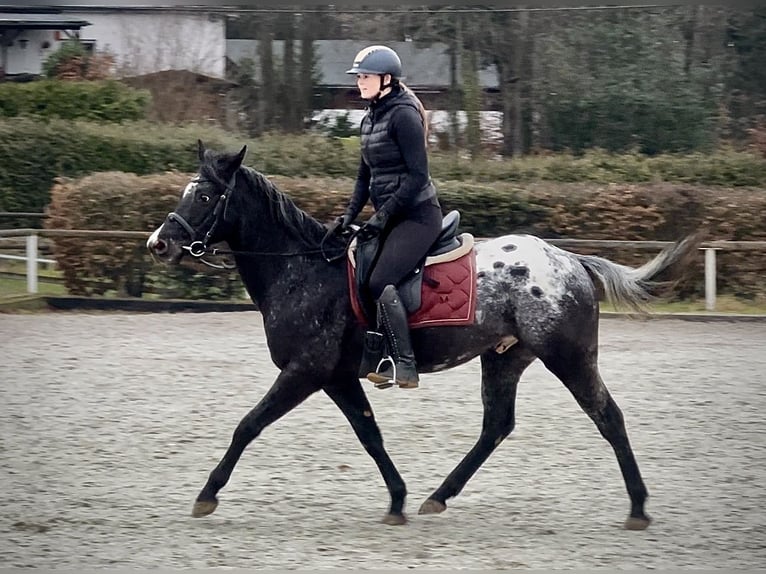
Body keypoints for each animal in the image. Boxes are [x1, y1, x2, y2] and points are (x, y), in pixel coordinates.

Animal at [147, 140, 698, 530]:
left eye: (204, 195)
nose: (158, 244)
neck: (303, 270)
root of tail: (570, 261)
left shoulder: (304, 372)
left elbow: (248, 425)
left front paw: (207, 495)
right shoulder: (336, 376)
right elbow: (369, 434)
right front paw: (397, 499)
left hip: (569, 356)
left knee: (608, 416)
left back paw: (638, 507)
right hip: (505, 357)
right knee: (496, 426)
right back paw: (438, 496)